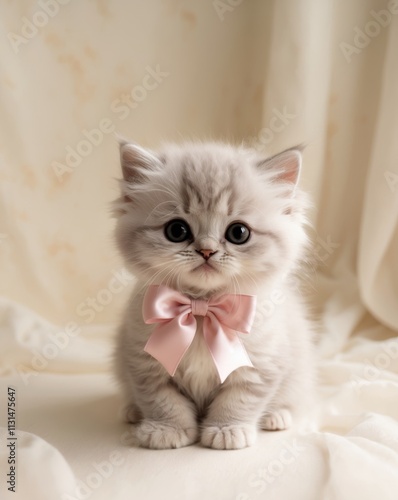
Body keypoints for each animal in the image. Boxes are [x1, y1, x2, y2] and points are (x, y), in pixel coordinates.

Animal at [113, 140, 316, 450]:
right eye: (176, 230)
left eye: (239, 233)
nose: (206, 250)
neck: (201, 307)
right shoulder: (143, 361)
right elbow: (162, 400)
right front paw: (167, 430)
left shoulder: (260, 365)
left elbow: (238, 401)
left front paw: (226, 430)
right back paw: (132, 412)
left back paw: (276, 417)